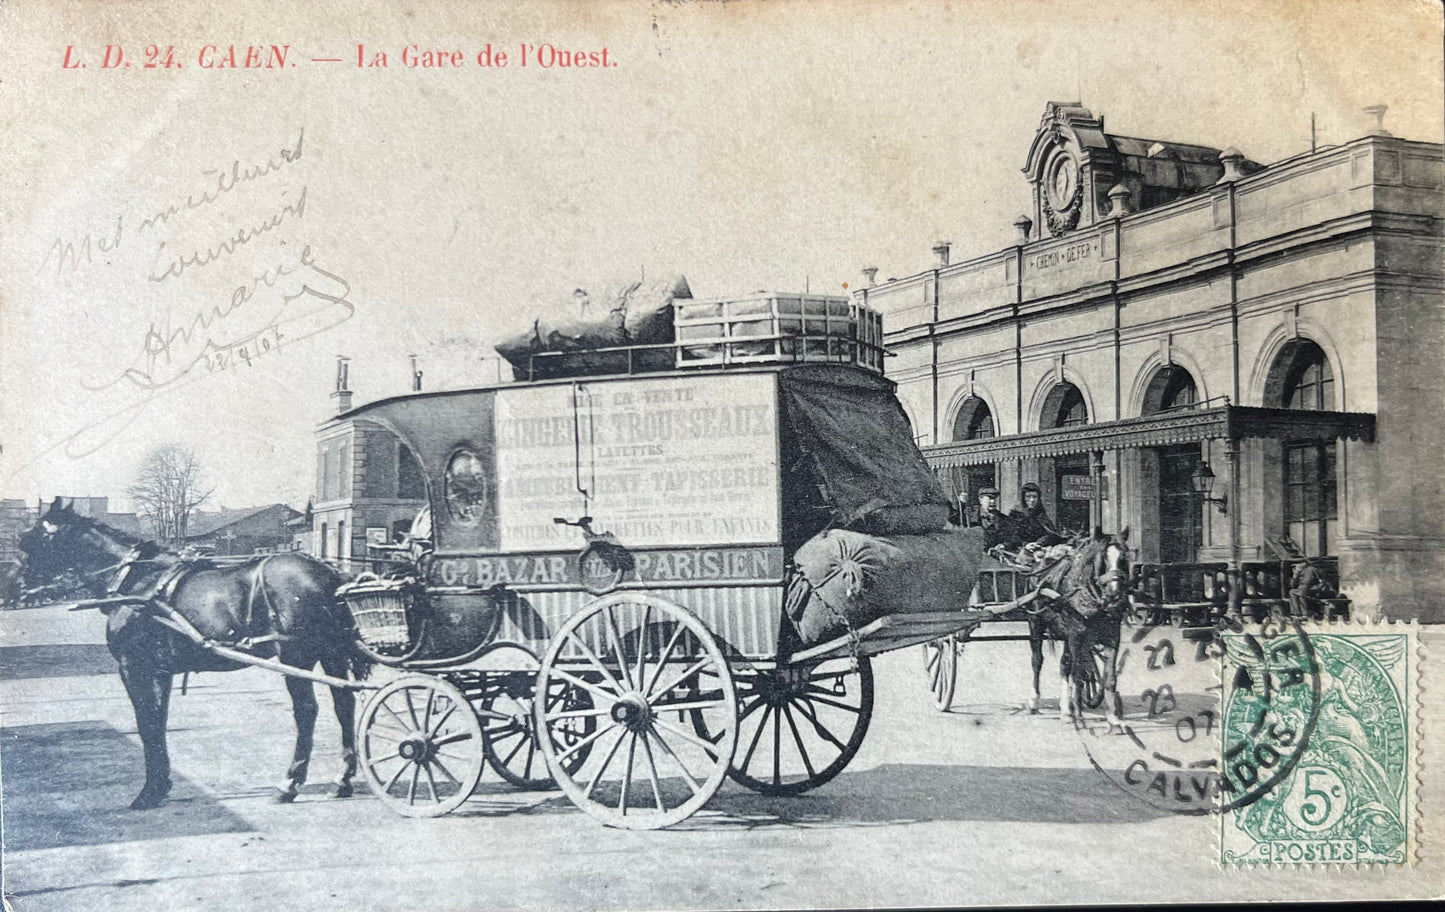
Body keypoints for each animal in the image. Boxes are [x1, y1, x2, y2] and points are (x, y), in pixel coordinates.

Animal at [16, 502, 372, 809]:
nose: (16, 586)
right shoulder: (160, 671)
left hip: (296, 656)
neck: (139, 583)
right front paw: (160, 784)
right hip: (330, 654)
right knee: (344, 704)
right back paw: (341, 780)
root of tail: (329, 574)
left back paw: (289, 783)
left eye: (31, 539)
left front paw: (148, 792)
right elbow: (157, 722)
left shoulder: (134, 668)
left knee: (307, 711)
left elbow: (146, 724)